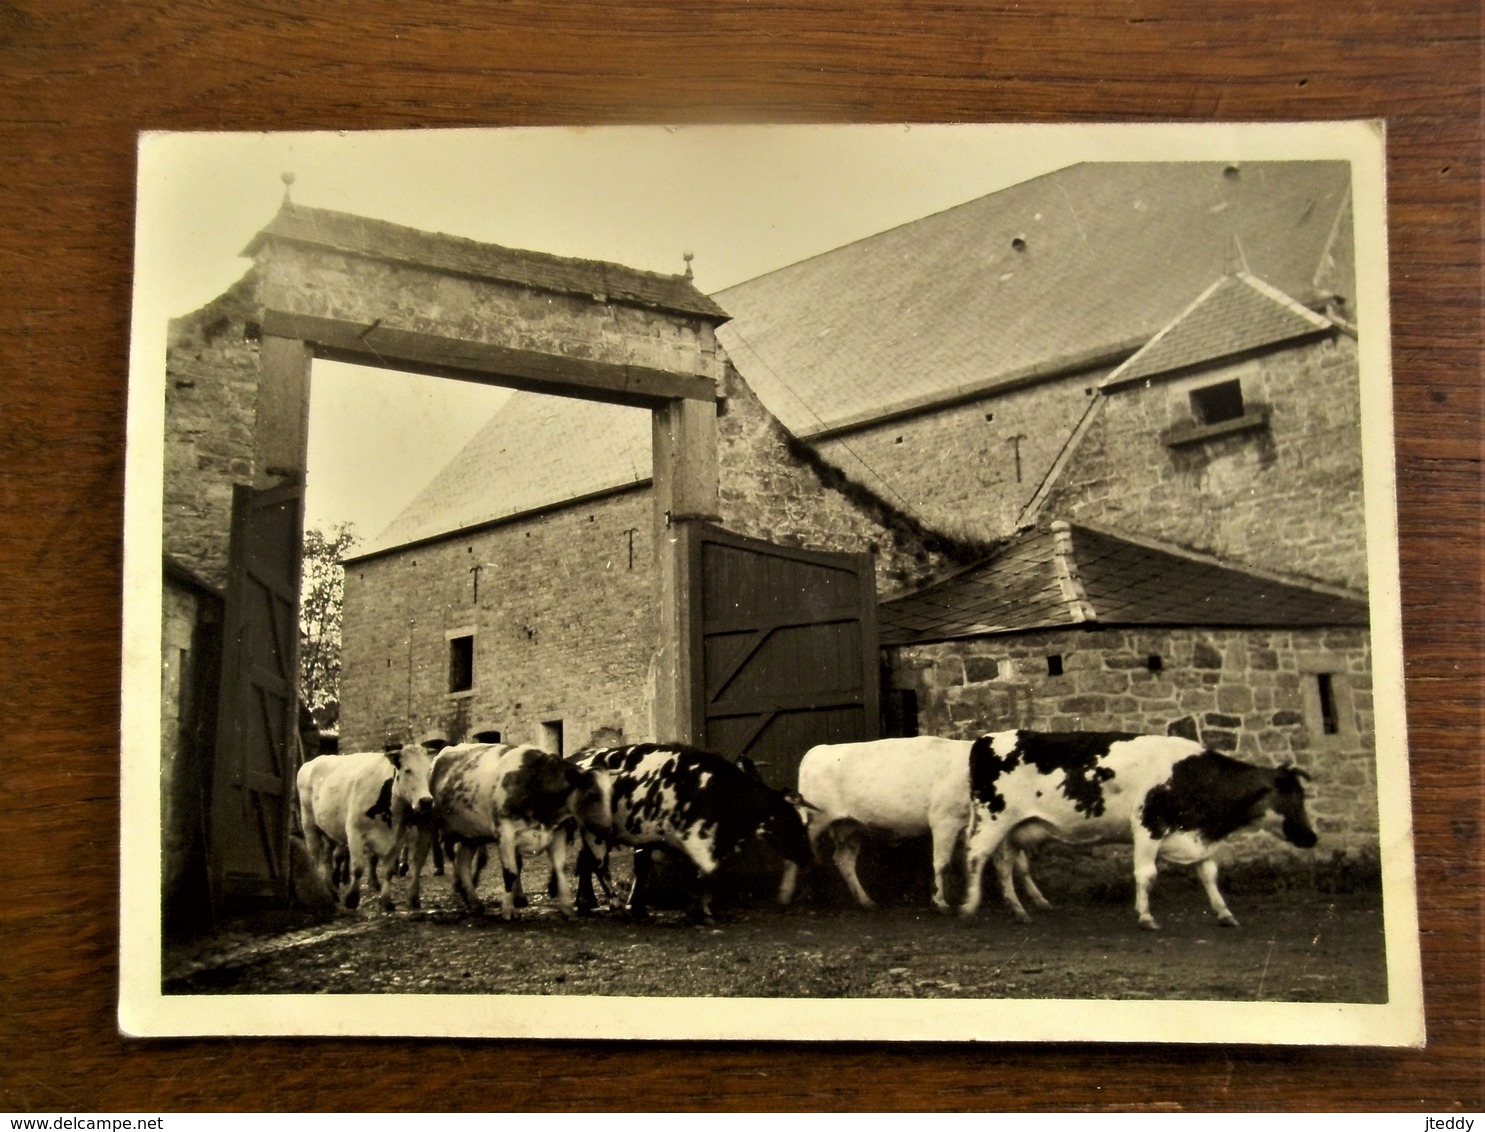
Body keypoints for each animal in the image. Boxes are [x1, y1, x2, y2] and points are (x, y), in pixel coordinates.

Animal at [294, 739, 433, 909]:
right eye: (408, 770)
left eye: (428, 770)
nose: (426, 801)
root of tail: (314, 761)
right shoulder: (354, 832)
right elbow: (358, 868)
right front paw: (352, 899)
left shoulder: (398, 838)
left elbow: (388, 871)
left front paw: (386, 901)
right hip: (309, 824)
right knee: (315, 857)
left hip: (328, 830)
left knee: (327, 859)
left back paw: (332, 892)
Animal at [412, 739, 608, 915]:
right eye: (592, 795)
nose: (609, 826)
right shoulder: (505, 835)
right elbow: (510, 872)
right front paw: (508, 911)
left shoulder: (558, 832)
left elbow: (560, 869)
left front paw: (567, 908)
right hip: (428, 823)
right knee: (420, 859)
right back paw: (413, 899)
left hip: (471, 834)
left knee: (463, 863)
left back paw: (474, 902)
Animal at [570, 739, 825, 915]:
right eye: (788, 821)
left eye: (804, 821)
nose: (809, 857)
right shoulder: (694, 838)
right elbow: (705, 872)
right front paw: (703, 910)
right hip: (595, 832)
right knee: (598, 865)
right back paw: (612, 904)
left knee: (586, 862)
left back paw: (587, 902)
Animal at [956, 730, 1318, 926]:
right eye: (1294, 796)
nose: (1312, 837)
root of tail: (986, 739)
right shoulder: (1147, 826)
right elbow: (1147, 874)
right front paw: (1145, 916)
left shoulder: (1196, 836)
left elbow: (1209, 875)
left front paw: (1225, 914)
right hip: (993, 818)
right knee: (975, 856)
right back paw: (970, 905)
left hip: (1016, 828)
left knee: (1004, 864)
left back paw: (1019, 910)